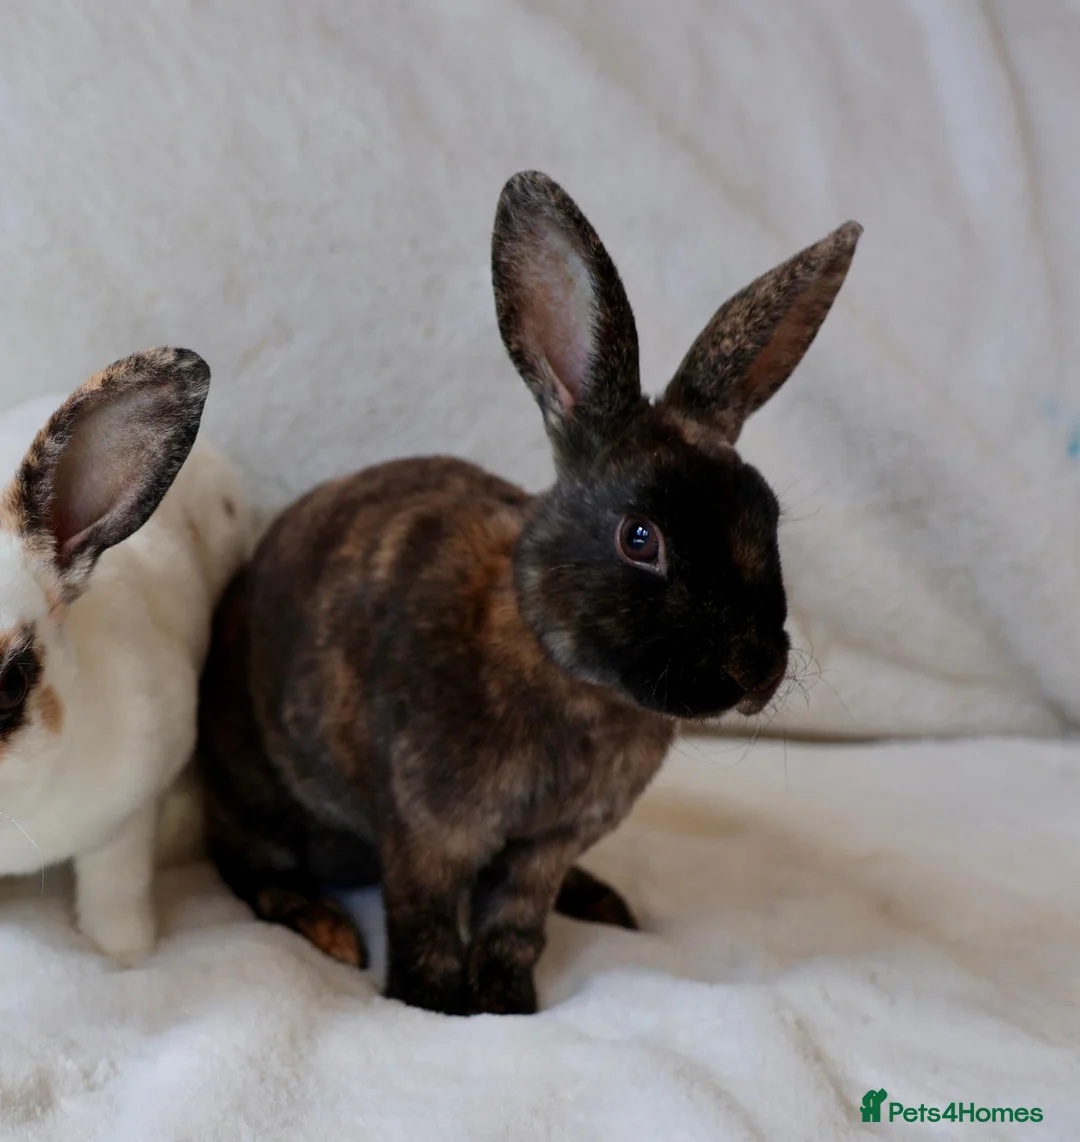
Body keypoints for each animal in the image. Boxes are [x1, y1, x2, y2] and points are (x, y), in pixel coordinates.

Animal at [197, 171, 861, 1015]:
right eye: (639, 538)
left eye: (767, 518)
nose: (755, 670)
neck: (561, 668)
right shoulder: (429, 835)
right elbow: (424, 922)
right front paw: (435, 1006)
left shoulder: (546, 846)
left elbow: (517, 921)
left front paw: (509, 1001)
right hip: (251, 795)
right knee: (251, 870)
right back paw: (327, 928)